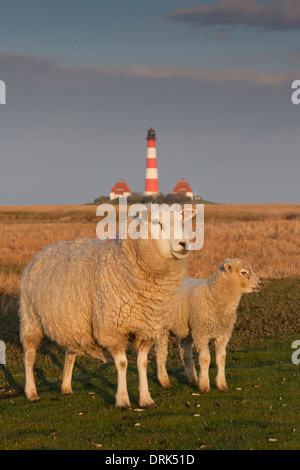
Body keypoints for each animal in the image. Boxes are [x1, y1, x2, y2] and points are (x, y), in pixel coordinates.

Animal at [19, 206, 197, 408]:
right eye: (156, 222)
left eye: (182, 222)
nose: (184, 243)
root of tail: (42, 251)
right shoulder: (113, 329)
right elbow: (122, 364)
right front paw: (123, 400)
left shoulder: (148, 327)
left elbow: (142, 363)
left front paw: (145, 399)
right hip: (31, 318)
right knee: (29, 355)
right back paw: (31, 392)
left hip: (73, 322)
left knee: (70, 353)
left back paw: (66, 387)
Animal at [156, 260, 262, 392]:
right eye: (243, 272)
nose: (260, 284)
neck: (214, 294)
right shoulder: (201, 333)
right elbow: (205, 359)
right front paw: (205, 386)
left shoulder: (223, 334)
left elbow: (221, 358)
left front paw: (222, 384)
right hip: (163, 328)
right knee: (161, 353)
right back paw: (164, 381)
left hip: (189, 329)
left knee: (185, 352)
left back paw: (193, 379)